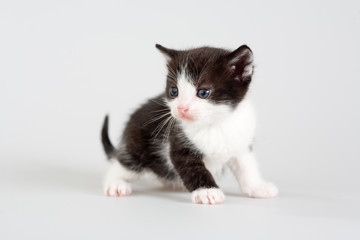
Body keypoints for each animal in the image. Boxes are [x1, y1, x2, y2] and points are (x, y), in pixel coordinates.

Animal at [101, 43, 278, 204]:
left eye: (203, 92)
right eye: (174, 91)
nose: (181, 108)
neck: (214, 124)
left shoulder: (241, 143)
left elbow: (247, 167)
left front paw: (258, 187)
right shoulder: (178, 144)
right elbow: (194, 170)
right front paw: (208, 192)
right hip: (137, 147)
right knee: (123, 164)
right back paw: (115, 184)